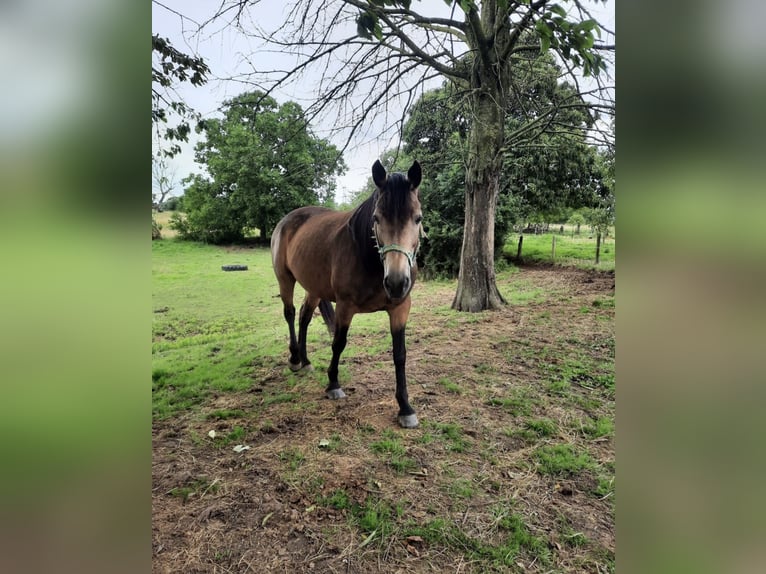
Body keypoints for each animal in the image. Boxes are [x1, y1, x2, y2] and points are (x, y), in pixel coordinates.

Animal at [270, 160, 423, 428]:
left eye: (418, 218)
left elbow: (400, 354)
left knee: (304, 317)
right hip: (285, 279)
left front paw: (405, 407)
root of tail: (286, 220)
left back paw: (306, 361)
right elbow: (338, 343)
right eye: (376, 218)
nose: (395, 282)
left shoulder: (400, 308)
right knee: (289, 313)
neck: (367, 256)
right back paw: (295, 359)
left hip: (314, 288)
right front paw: (333, 384)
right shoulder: (345, 307)